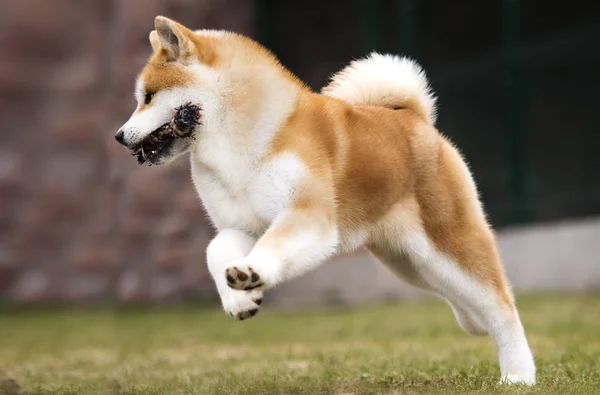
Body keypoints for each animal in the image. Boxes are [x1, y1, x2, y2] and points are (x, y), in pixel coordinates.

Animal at [115, 16, 536, 386]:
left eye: (148, 97)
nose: (119, 136)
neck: (237, 142)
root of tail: (415, 119)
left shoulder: (305, 215)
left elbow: (273, 247)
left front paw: (253, 273)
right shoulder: (243, 225)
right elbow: (215, 250)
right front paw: (239, 297)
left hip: (451, 243)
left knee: (503, 307)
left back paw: (518, 375)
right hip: (412, 263)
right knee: (465, 300)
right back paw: (475, 325)